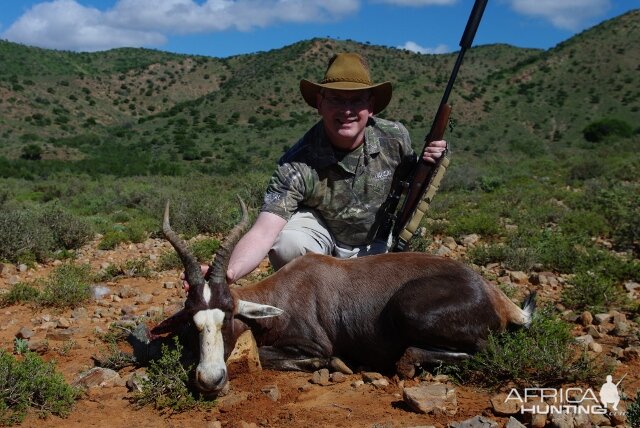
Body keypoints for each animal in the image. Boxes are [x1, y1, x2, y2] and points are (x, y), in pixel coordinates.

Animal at [151, 199, 536, 396]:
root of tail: (494, 294)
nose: (210, 380)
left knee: (483, 351)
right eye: (192, 321)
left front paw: (338, 364)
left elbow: (269, 354)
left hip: (410, 311)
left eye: (228, 314)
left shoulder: (314, 345)